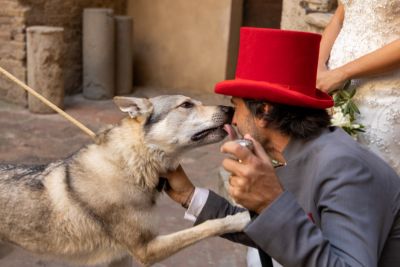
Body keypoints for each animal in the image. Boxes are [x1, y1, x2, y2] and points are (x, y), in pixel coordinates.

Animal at [0, 96, 250, 267]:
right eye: (186, 104)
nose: (231, 109)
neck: (128, 168)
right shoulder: (145, 249)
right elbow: (208, 226)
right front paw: (240, 218)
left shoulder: (122, 256)